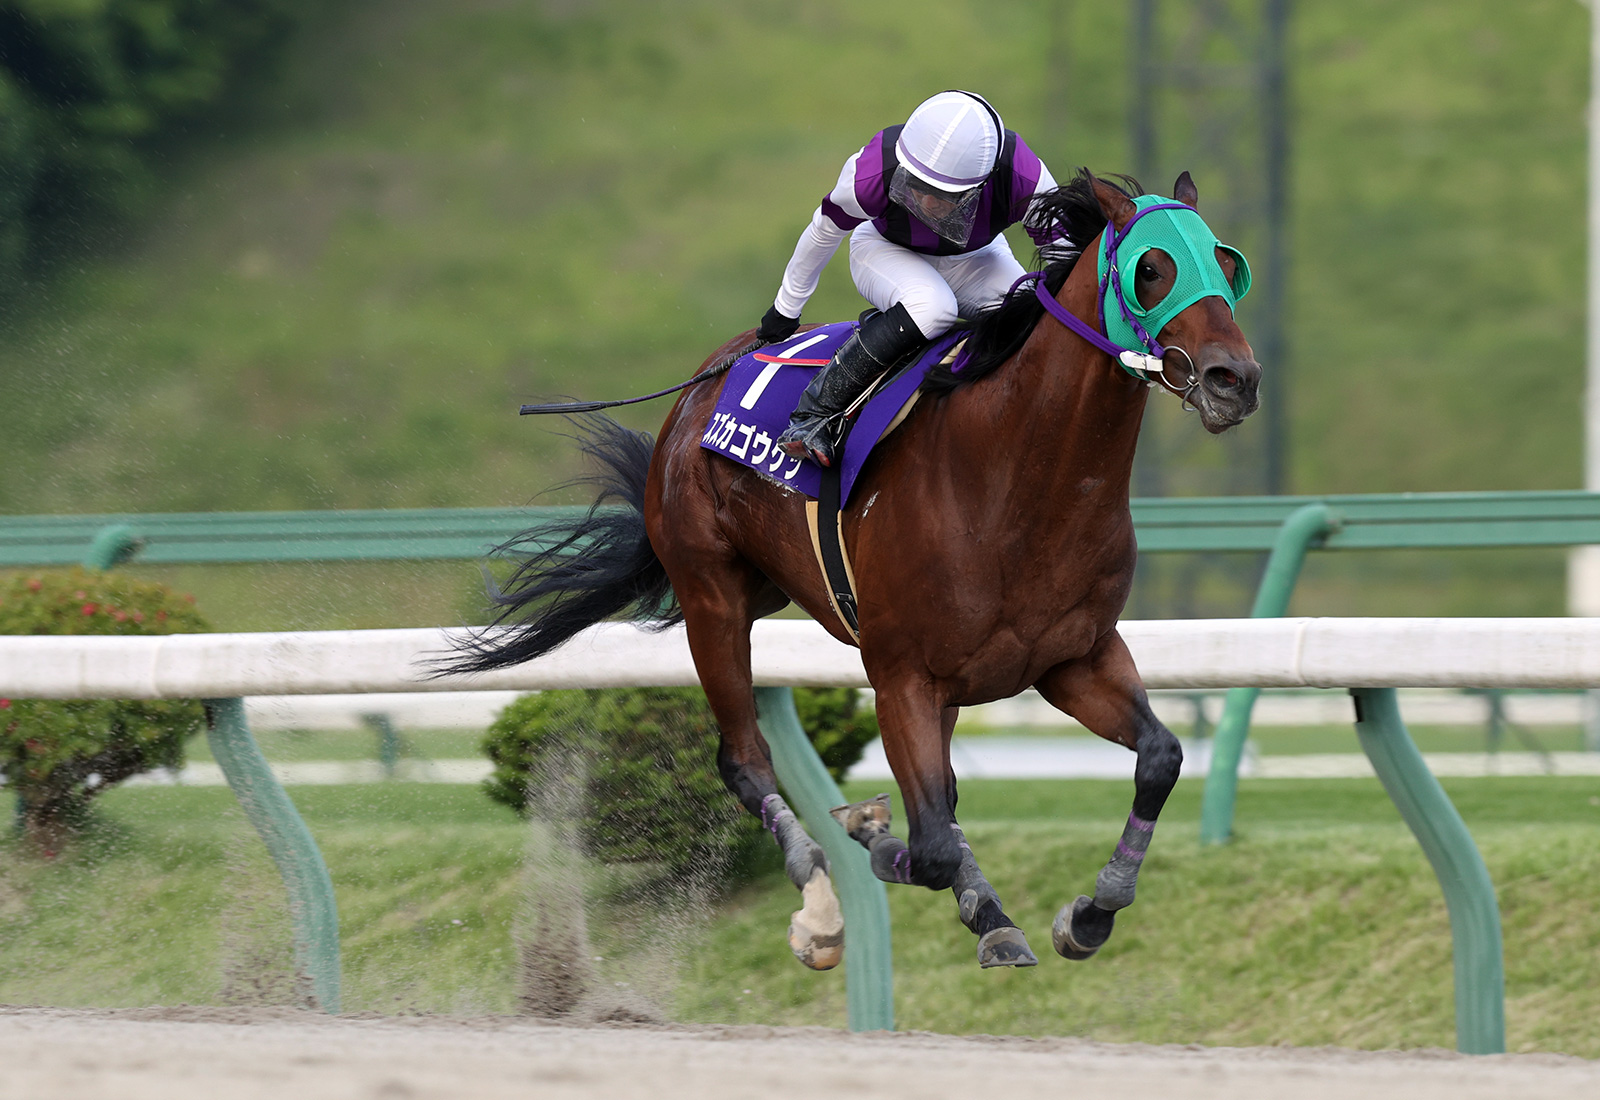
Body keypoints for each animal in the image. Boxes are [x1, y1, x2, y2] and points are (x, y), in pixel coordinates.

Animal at [451, 169, 1260, 972]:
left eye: (1227, 265)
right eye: (1153, 270)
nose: (1235, 379)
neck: (1015, 478)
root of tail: (703, 384)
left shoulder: (1072, 658)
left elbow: (1159, 757)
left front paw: (1089, 913)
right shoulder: (902, 673)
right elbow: (927, 846)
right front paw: (872, 838)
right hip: (712, 596)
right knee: (746, 760)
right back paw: (821, 905)